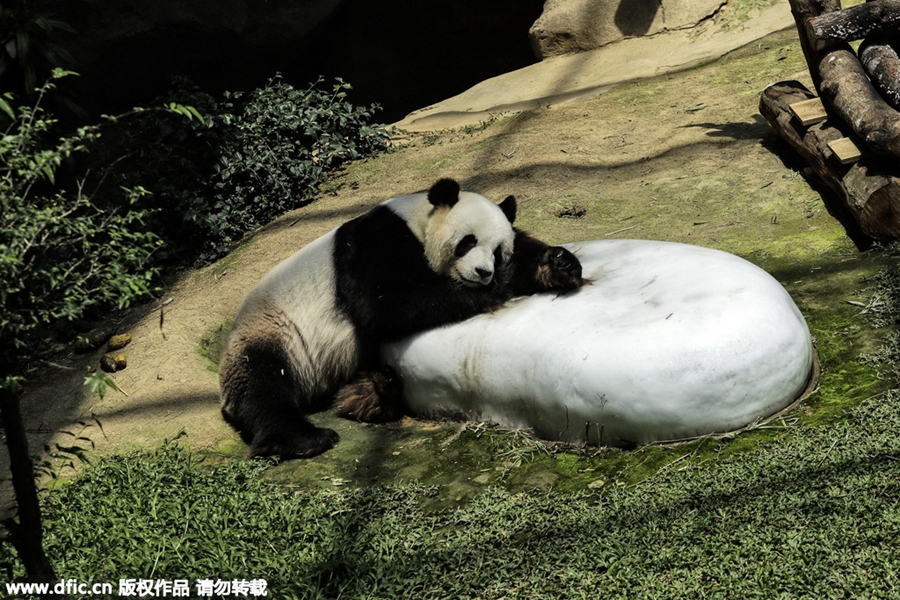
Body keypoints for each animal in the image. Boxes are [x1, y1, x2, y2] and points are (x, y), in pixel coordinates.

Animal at [219, 178, 584, 460]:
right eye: (468, 242)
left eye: (497, 251)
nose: (484, 272)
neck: (418, 222)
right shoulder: (374, 244)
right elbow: (388, 302)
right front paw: (500, 286)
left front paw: (557, 265)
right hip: (275, 334)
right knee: (264, 387)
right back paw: (303, 440)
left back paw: (374, 393)